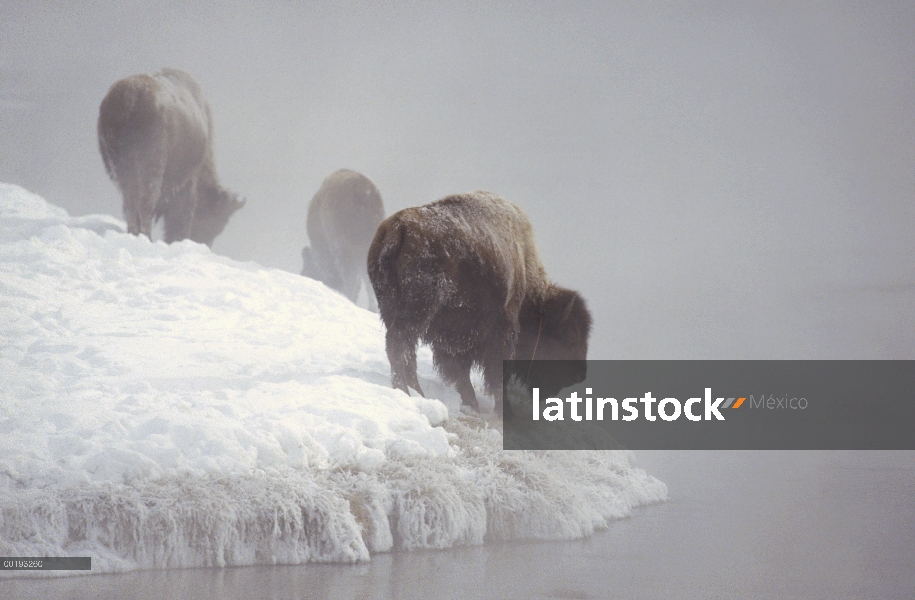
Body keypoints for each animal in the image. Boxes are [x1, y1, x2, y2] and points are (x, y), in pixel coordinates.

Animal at [97, 65, 243, 244]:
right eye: (215, 218)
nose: (202, 242)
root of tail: (130, 94)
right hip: (151, 166)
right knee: (145, 203)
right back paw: (147, 237)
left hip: (121, 168)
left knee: (130, 202)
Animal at [366, 191, 592, 418]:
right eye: (571, 336)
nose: (580, 375)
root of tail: (398, 227)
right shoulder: (499, 333)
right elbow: (495, 374)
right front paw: (503, 412)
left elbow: (461, 371)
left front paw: (471, 404)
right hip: (418, 310)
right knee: (399, 345)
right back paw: (407, 391)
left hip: (391, 308)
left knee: (405, 350)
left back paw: (416, 392)